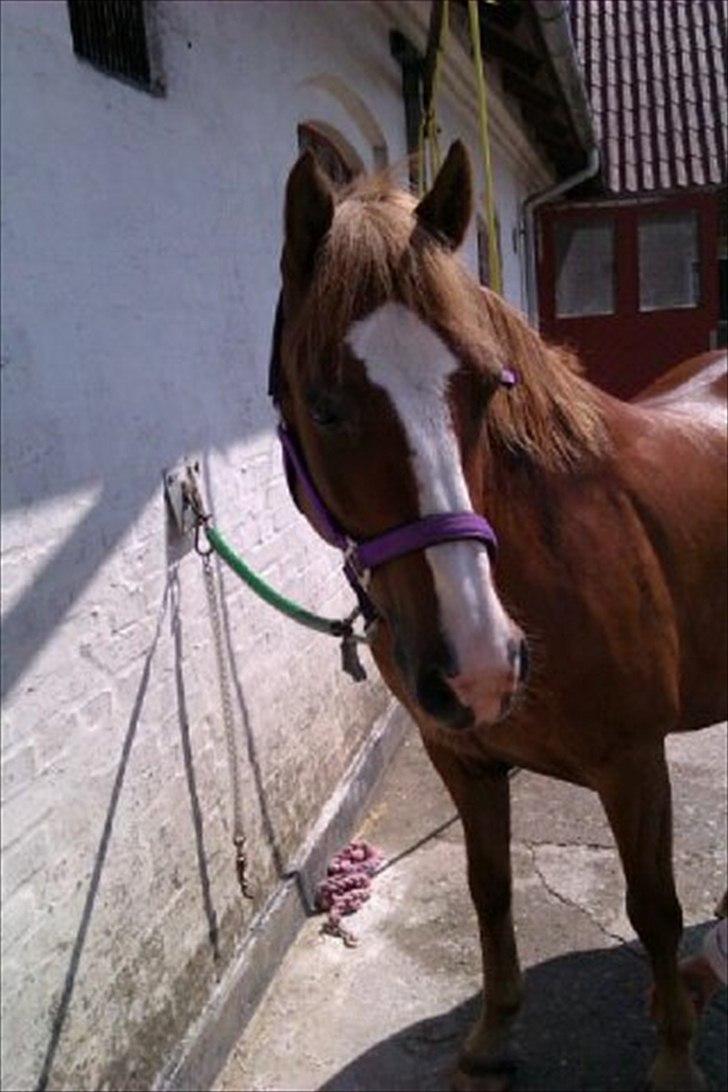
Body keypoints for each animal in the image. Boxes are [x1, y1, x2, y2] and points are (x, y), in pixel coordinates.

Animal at [276, 140, 724, 1087]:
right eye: (324, 405)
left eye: (488, 386)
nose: (484, 665)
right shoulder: (464, 758)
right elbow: (490, 889)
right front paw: (490, 1036)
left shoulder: (635, 764)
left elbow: (655, 908)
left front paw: (674, 1058)